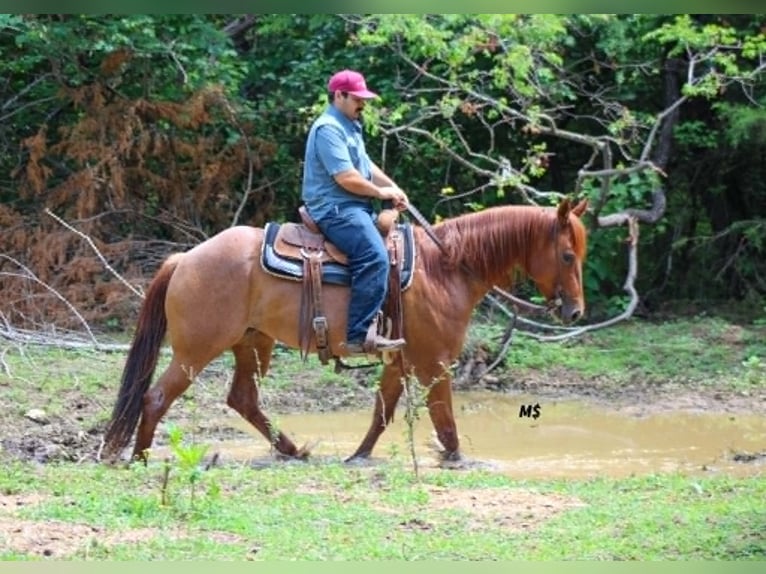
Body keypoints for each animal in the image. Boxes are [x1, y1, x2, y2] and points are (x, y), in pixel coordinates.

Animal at [103, 197, 588, 463]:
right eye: (567, 255)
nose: (576, 312)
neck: (443, 267)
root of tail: (184, 258)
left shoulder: (400, 360)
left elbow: (381, 415)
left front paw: (358, 457)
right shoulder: (435, 363)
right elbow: (445, 422)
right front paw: (458, 460)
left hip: (252, 344)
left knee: (243, 399)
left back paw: (294, 451)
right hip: (196, 350)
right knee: (156, 397)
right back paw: (140, 458)